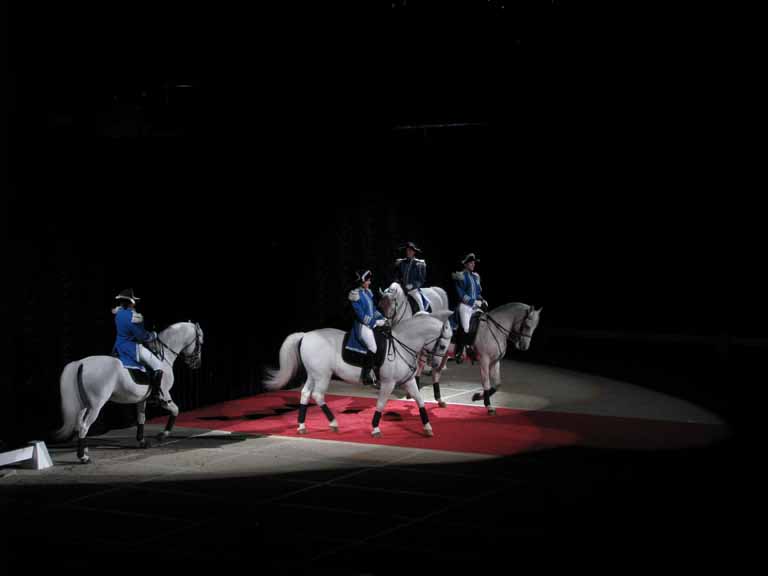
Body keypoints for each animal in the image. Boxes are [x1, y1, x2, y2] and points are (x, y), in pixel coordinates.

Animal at [54, 322, 204, 462]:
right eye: (200, 342)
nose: (196, 363)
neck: (163, 357)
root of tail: (81, 363)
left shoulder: (142, 399)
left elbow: (141, 418)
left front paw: (142, 442)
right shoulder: (165, 395)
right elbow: (175, 410)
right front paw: (162, 435)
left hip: (84, 404)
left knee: (79, 424)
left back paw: (84, 450)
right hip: (96, 405)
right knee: (84, 425)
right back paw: (83, 457)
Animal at [266, 312, 452, 438]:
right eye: (443, 345)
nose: (436, 366)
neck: (402, 345)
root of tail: (306, 335)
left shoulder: (409, 380)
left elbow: (420, 401)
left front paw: (427, 428)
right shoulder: (388, 383)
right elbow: (381, 404)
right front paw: (375, 428)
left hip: (313, 374)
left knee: (305, 394)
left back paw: (302, 426)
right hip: (323, 375)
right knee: (317, 395)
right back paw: (333, 423)